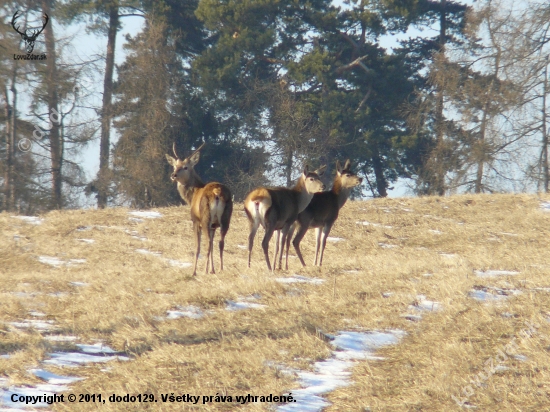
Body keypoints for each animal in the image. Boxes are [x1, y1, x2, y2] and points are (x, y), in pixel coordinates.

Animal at [164, 142, 233, 276]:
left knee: (207, 244)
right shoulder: (213, 226)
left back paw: (204, 271)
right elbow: (213, 246)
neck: (193, 195)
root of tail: (217, 192)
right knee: (220, 243)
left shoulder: (195, 221)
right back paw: (221, 269)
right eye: (175, 166)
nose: (173, 175)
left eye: (185, 167)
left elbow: (197, 247)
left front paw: (194, 271)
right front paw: (213, 270)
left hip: (205, 217)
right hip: (225, 218)